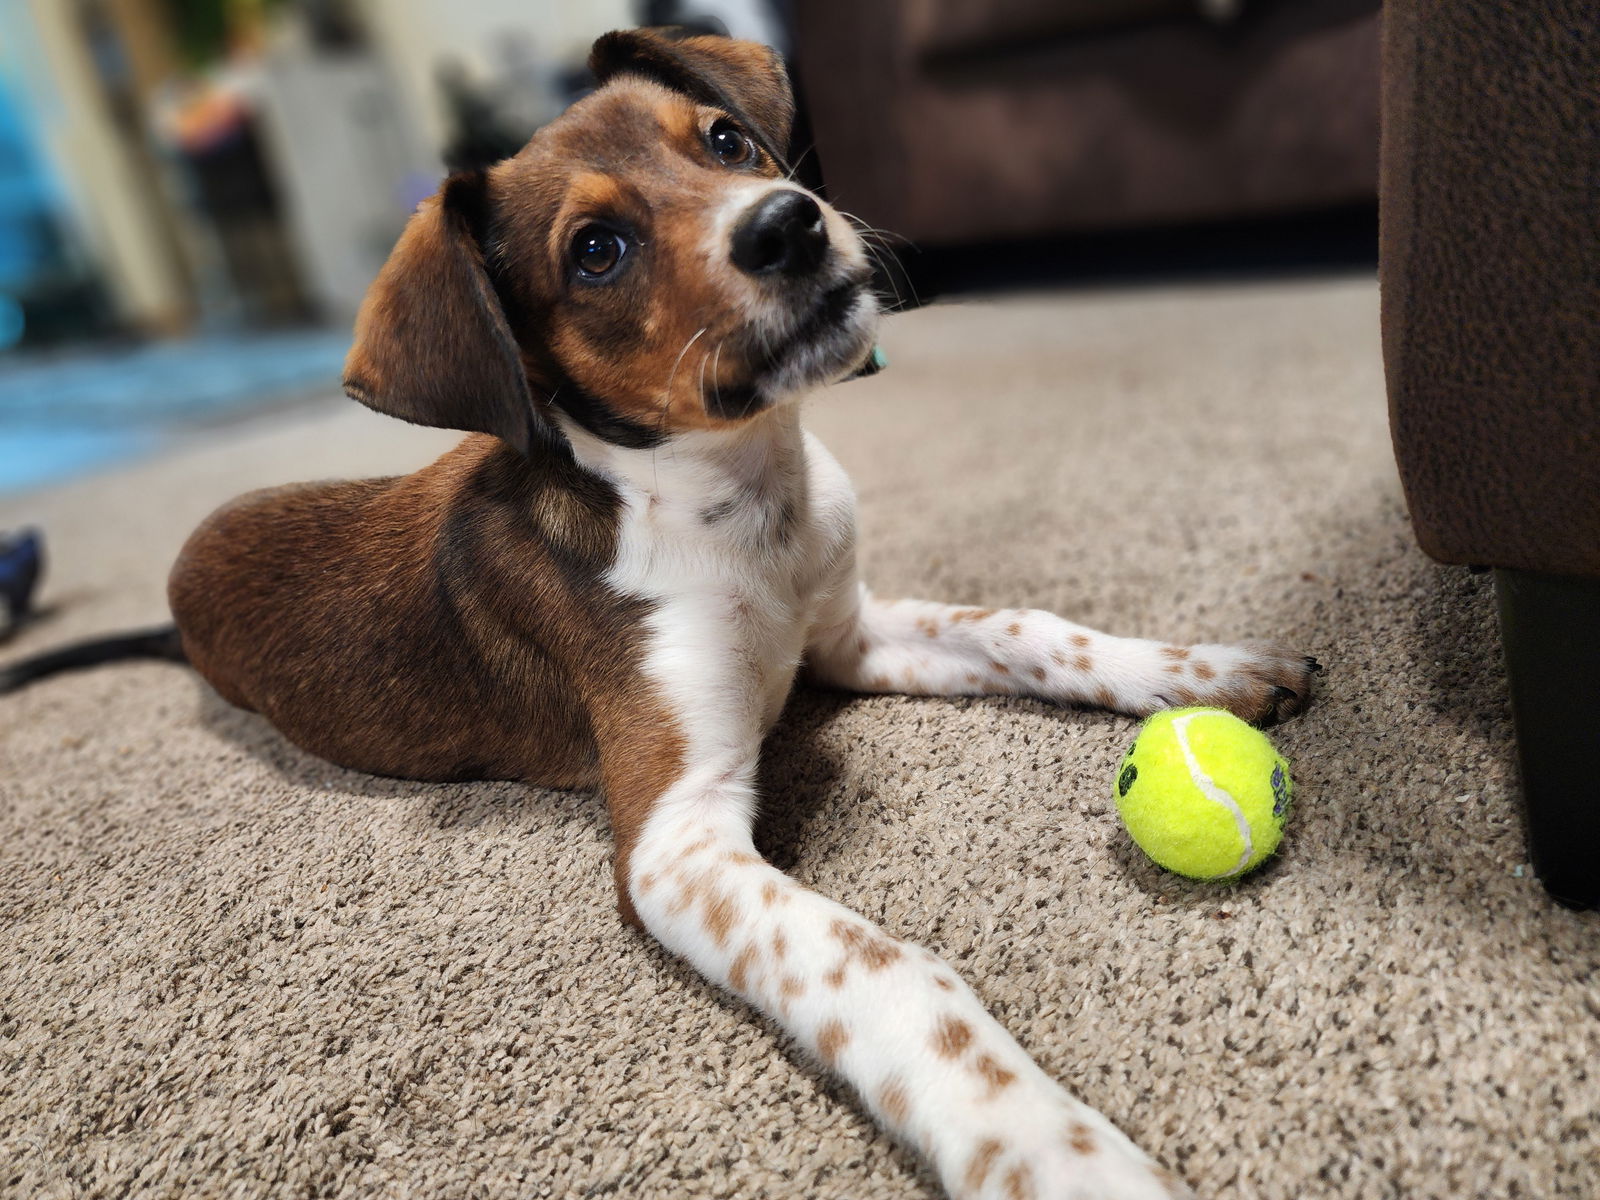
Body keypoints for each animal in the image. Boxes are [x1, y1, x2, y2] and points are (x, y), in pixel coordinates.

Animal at [6, 28, 1318, 1200]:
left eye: (724, 141)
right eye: (596, 250)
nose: (788, 222)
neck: (739, 507)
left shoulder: (850, 635)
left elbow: (1030, 629)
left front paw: (1198, 671)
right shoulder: (675, 836)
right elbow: (896, 976)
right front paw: (1049, 1150)